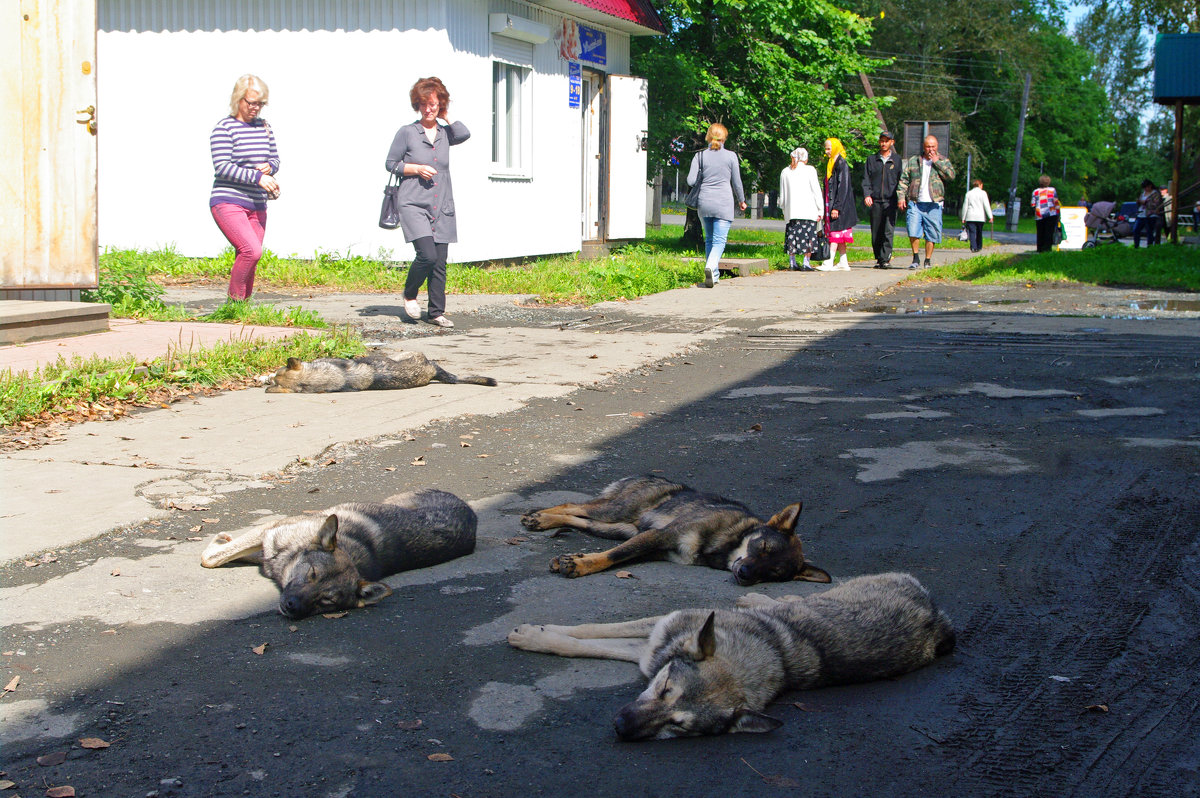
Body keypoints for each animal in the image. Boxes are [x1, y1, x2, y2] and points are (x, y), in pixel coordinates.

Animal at [199, 489, 475, 619]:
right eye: (311, 574)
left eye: (327, 601)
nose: (292, 607)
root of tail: (470, 511)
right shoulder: (269, 533)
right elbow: (214, 558)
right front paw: (222, 542)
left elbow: (214, 557)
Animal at [506, 568, 955, 739]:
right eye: (663, 689)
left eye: (677, 726)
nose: (619, 727)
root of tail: (939, 620)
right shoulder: (655, 633)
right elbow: (585, 631)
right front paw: (533, 632)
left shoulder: (648, 649)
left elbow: (583, 642)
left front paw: (534, 636)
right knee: (795, 597)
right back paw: (761, 598)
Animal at [520, 475, 830, 583]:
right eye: (763, 546)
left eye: (775, 573)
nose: (744, 574)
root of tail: (652, 477)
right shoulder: (659, 534)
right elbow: (614, 556)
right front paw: (580, 565)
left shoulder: (651, 545)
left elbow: (618, 556)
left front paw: (576, 561)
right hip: (615, 512)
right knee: (573, 505)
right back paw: (539, 516)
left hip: (616, 528)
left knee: (577, 518)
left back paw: (543, 520)